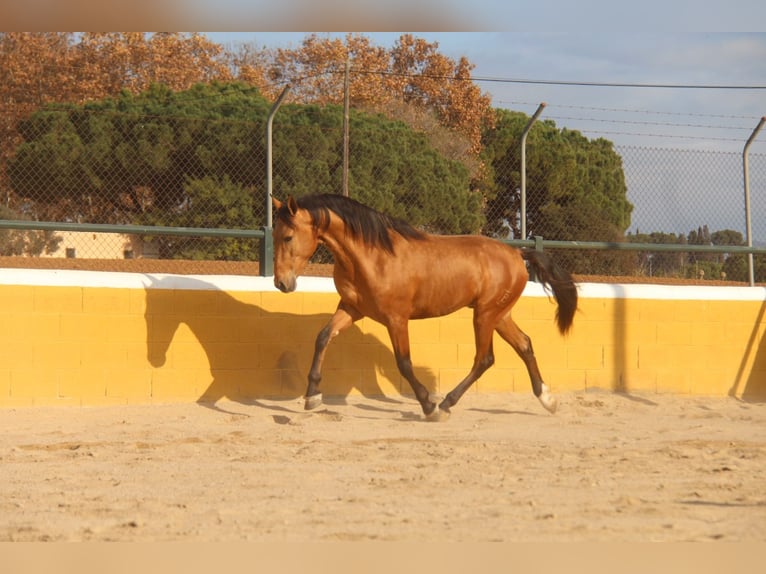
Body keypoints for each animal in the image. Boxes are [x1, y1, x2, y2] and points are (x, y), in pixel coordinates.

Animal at [272, 195, 580, 424]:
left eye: (287, 237)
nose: (281, 283)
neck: (372, 256)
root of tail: (518, 253)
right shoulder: (351, 308)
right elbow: (323, 337)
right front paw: (312, 396)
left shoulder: (396, 319)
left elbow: (404, 363)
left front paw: (428, 406)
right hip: (500, 315)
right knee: (524, 345)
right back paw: (548, 400)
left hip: (485, 315)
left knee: (484, 359)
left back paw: (445, 404)